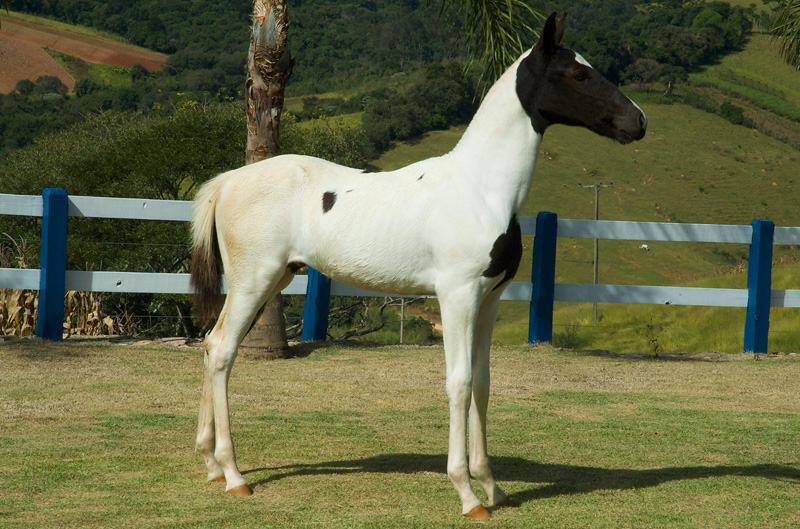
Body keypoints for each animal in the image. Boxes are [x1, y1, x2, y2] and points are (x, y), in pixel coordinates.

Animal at [190, 12, 646, 520]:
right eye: (578, 74)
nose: (637, 121)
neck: (480, 188)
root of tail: (229, 181)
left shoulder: (489, 299)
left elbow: (483, 383)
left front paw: (493, 487)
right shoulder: (457, 297)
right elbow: (459, 383)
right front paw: (468, 495)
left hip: (273, 280)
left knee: (212, 346)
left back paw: (211, 465)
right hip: (255, 281)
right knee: (223, 350)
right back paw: (234, 476)